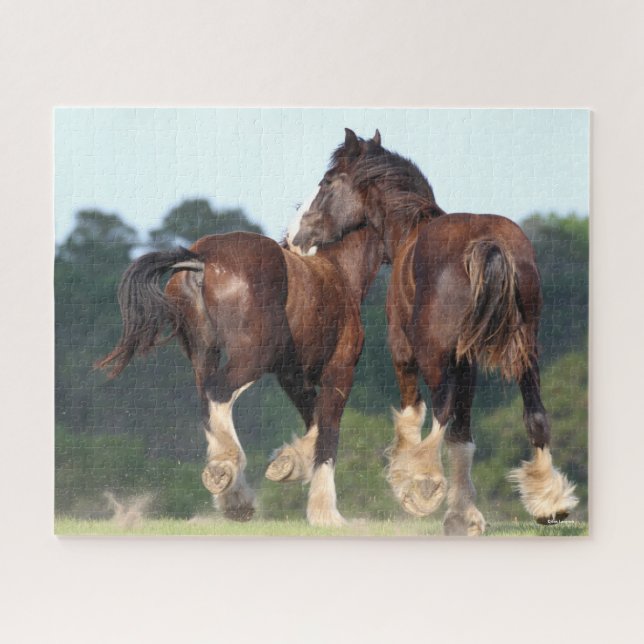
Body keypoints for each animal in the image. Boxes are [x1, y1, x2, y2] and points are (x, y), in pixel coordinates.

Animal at [97, 217, 383, 526]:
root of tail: (201, 259)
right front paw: (326, 514)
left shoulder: (293, 377)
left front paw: (288, 463)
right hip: (253, 357)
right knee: (219, 391)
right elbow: (328, 433)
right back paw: (226, 472)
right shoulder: (339, 372)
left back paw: (233, 496)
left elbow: (315, 422)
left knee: (207, 400)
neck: (337, 273)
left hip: (206, 354)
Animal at [291, 128, 579, 535]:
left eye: (328, 181)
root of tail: (488, 245)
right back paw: (549, 503)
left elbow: (414, 415)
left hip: (433, 357)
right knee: (534, 416)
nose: (295, 236)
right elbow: (463, 438)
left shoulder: (403, 353)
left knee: (441, 412)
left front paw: (415, 481)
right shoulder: (468, 363)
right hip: (525, 355)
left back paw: (422, 484)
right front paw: (465, 514)